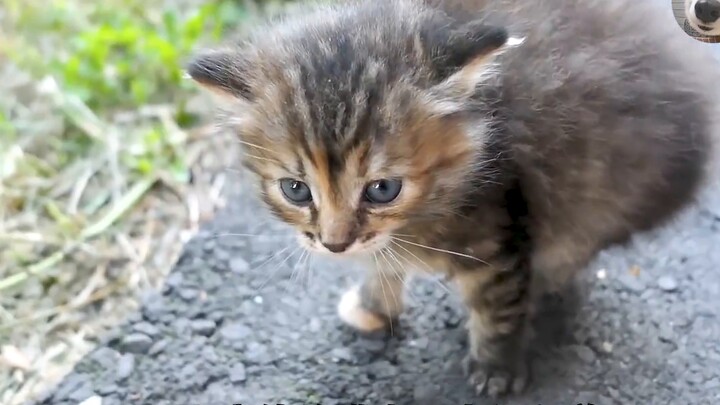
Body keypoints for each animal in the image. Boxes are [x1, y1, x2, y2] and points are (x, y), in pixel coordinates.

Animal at [187, 0, 720, 398]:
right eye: (295, 190)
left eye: (383, 189)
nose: (335, 245)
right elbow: (381, 262)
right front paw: (373, 306)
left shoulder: (498, 229)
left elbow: (499, 305)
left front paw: (498, 368)